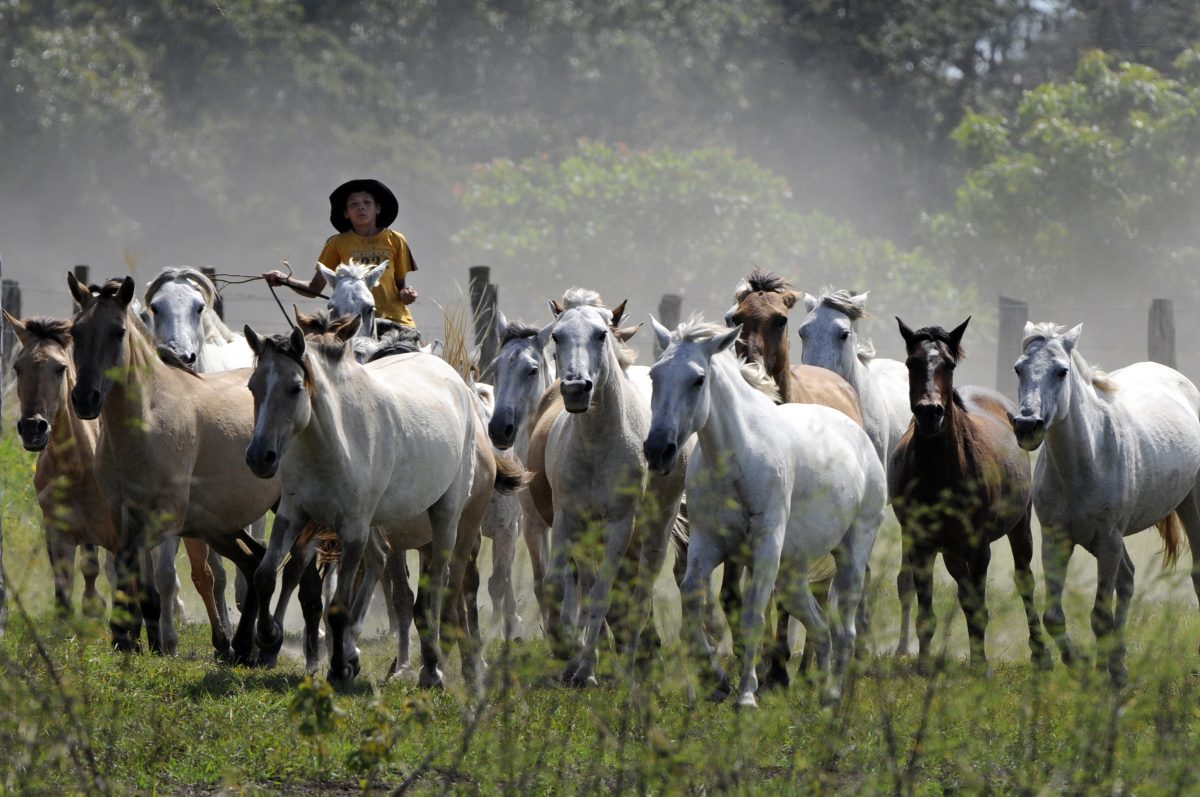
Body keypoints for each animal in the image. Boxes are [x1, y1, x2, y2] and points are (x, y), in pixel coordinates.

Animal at [537, 289, 686, 681]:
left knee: (641, 591)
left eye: (601, 334)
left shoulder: (621, 523)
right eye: (556, 335)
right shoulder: (569, 518)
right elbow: (559, 584)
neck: (595, 447)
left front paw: (586, 670)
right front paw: (570, 656)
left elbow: (604, 592)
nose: (576, 389)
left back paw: (632, 661)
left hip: (656, 526)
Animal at [648, 314, 883, 705]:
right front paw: (714, 682)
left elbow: (753, 616)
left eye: (698, 379)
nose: (657, 450)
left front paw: (746, 696)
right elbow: (693, 603)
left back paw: (834, 693)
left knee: (845, 629)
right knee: (820, 627)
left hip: (851, 553)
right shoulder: (706, 543)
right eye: (654, 375)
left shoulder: (764, 548)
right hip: (791, 573)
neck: (736, 460)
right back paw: (819, 690)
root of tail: (858, 434)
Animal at [892, 316, 1051, 672]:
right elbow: (928, 609)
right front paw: (923, 664)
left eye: (949, 364)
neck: (943, 471)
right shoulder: (922, 545)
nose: (930, 413)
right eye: (911, 362)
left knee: (1024, 580)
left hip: (1019, 527)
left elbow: (978, 606)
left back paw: (1041, 652)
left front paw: (980, 664)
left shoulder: (979, 547)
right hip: (951, 550)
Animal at [1012, 321, 1200, 681]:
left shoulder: (1109, 540)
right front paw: (1083, 665)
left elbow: (1101, 615)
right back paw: (1119, 664)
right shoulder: (1056, 539)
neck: (1089, 457)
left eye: (1061, 371)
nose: (1027, 425)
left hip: (1190, 507)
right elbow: (1055, 615)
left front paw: (1099, 675)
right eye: (1019, 368)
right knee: (1127, 579)